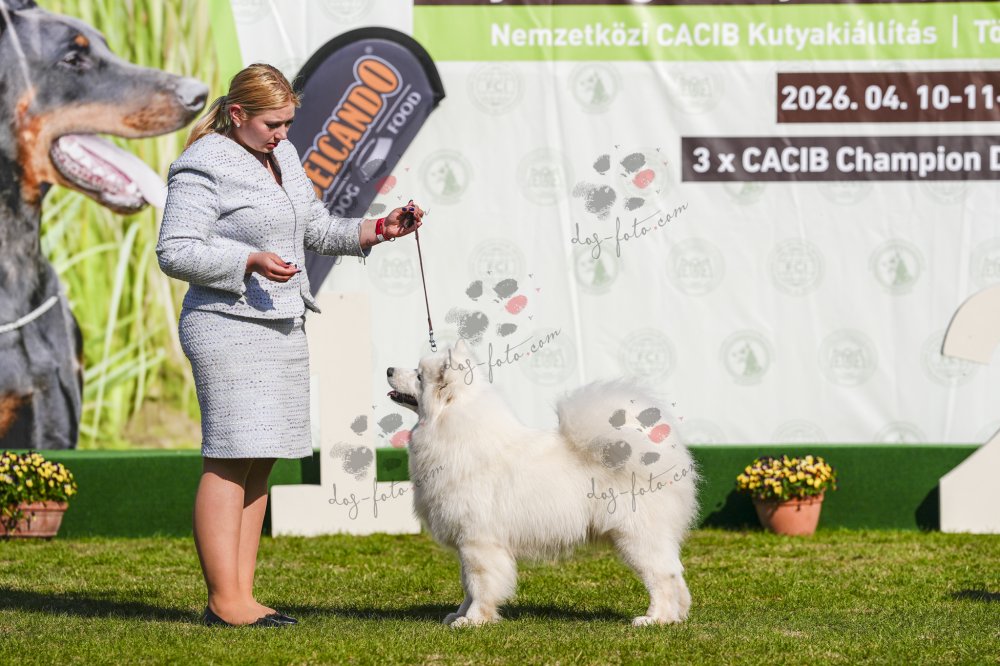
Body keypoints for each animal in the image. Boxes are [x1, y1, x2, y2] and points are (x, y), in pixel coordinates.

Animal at [387, 339, 699, 627]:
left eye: (418, 376)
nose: (389, 369)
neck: (456, 433)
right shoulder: (469, 544)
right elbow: (467, 585)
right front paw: (460, 615)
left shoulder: (478, 542)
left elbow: (479, 585)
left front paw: (473, 620)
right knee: (676, 574)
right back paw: (677, 616)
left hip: (636, 537)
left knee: (663, 577)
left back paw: (655, 619)